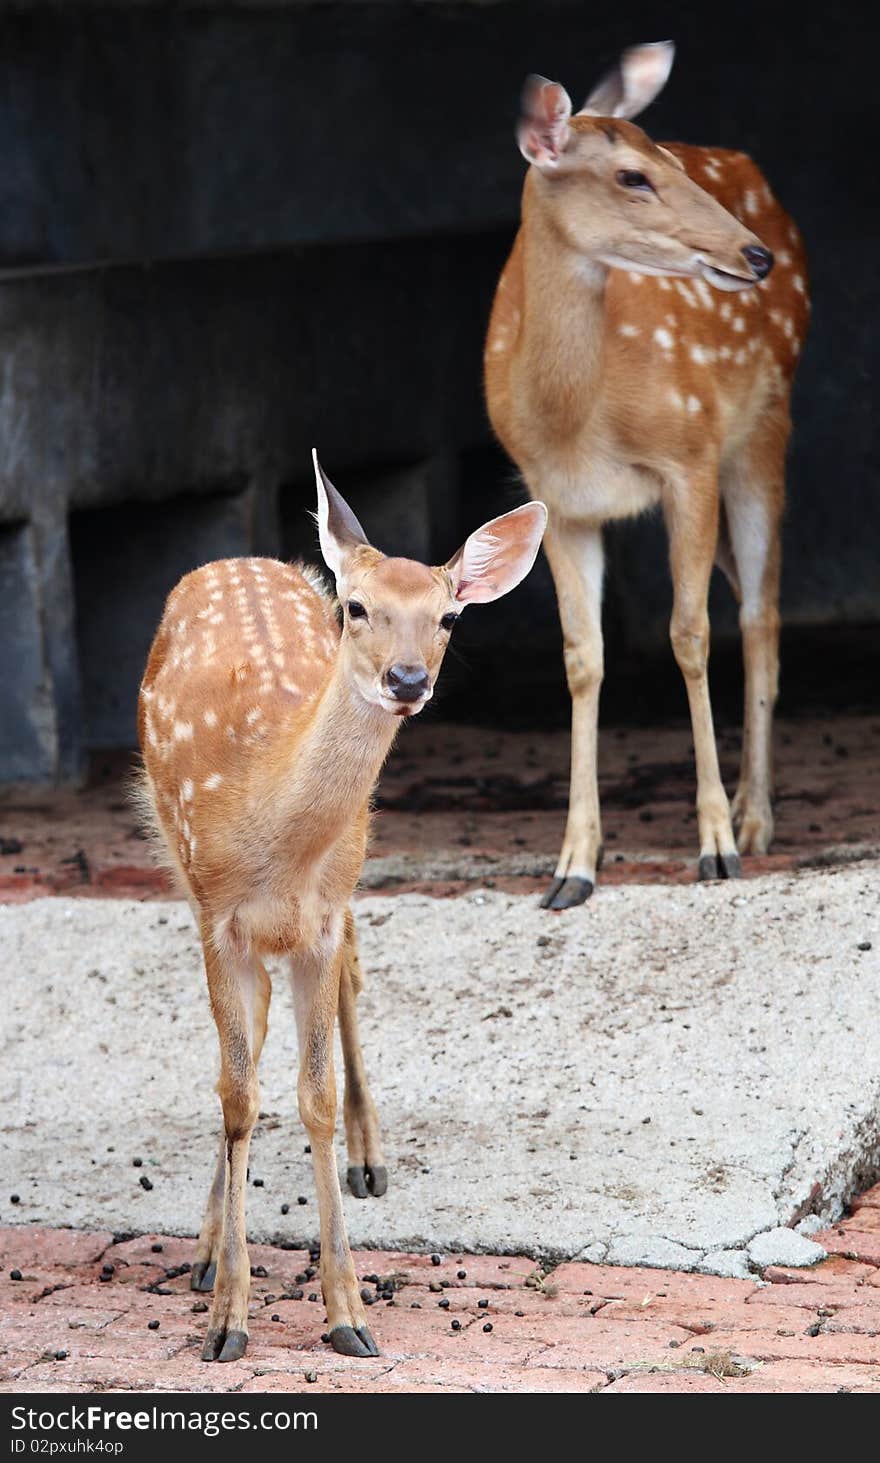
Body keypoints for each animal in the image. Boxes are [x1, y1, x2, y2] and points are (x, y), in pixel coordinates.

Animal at [135, 453, 543, 1357]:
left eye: (449, 616)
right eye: (358, 608)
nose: (407, 679)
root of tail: (241, 558)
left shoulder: (320, 914)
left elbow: (312, 1095)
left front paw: (347, 1310)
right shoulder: (217, 916)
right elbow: (238, 1093)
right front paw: (228, 1316)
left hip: (351, 868)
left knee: (348, 975)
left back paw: (366, 1156)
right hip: (179, 861)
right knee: (246, 1045)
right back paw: (207, 1251)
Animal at [482, 40, 806, 907]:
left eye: (668, 162)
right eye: (632, 176)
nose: (753, 254)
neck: (576, 419)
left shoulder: (687, 457)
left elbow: (689, 635)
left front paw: (715, 844)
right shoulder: (556, 500)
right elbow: (582, 657)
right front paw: (572, 865)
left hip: (763, 428)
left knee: (759, 613)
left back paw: (756, 817)